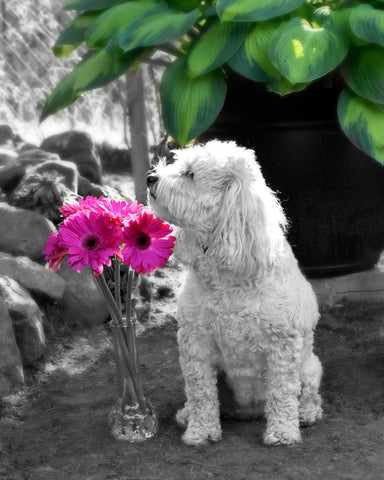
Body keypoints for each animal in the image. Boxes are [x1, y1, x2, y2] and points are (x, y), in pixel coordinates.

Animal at [148, 139, 322, 446]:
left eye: (190, 174)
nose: (149, 178)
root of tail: (250, 411)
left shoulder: (283, 344)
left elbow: (282, 393)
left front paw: (282, 432)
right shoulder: (195, 341)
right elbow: (200, 392)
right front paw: (201, 431)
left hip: (310, 366)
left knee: (309, 392)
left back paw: (307, 413)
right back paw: (187, 414)